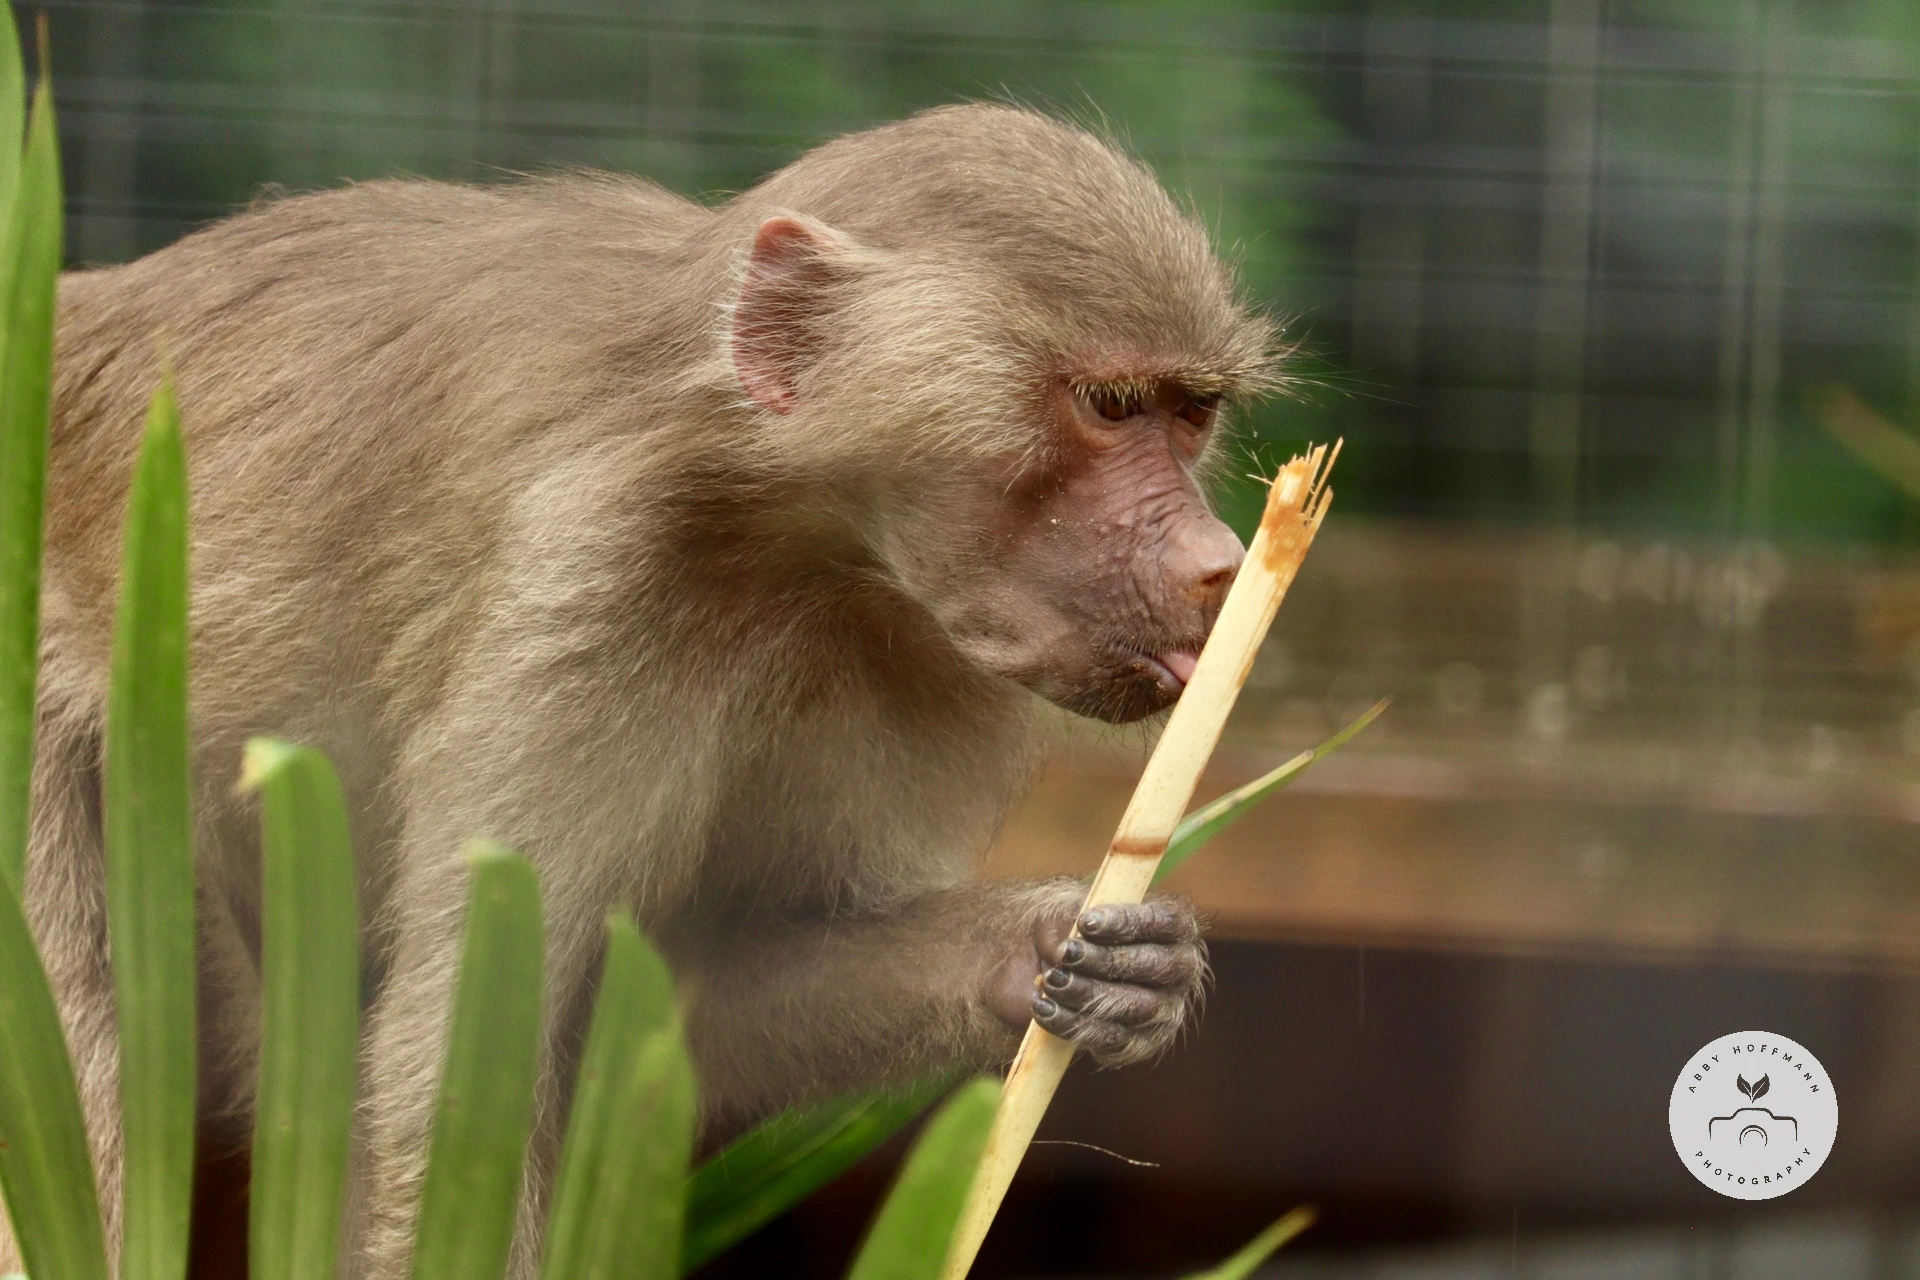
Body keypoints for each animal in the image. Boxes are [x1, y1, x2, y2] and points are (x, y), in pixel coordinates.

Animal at [2, 102, 1278, 1277]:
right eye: (1109, 407)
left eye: (1190, 413)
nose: (1217, 562)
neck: (792, 544)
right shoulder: (589, 595)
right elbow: (462, 1080)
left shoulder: (910, 663)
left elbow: (676, 994)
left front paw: (1074, 951)